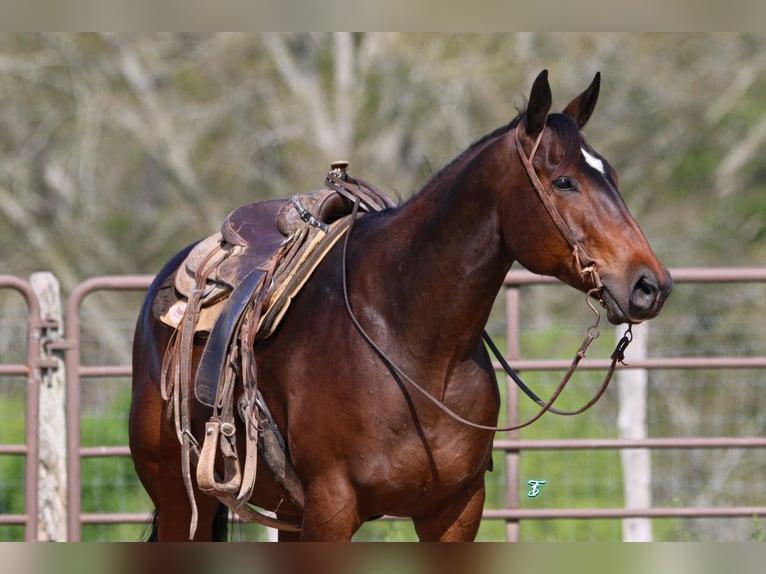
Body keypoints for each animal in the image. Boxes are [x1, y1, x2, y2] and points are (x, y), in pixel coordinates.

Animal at [130, 70, 672, 544]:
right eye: (563, 182)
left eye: (612, 176)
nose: (651, 285)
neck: (411, 340)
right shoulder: (332, 508)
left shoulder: (455, 511)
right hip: (181, 500)